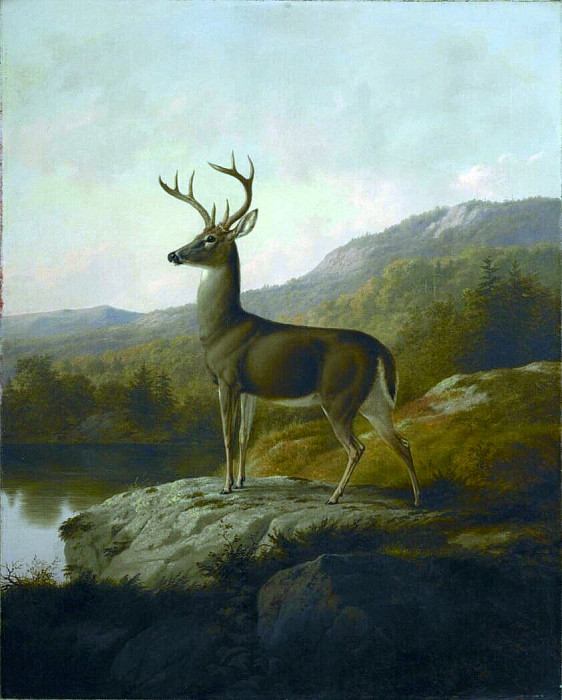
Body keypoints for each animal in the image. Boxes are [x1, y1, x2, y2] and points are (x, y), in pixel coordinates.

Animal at [160, 154, 420, 507]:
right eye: (197, 232)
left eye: (211, 238)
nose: (173, 254)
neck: (221, 330)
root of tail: (381, 349)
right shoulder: (250, 389)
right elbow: (244, 436)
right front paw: (241, 481)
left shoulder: (226, 379)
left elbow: (227, 436)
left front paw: (226, 486)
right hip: (372, 398)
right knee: (401, 441)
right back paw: (418, 500)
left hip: (339, 397)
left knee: (358, 447)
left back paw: (335, 496)